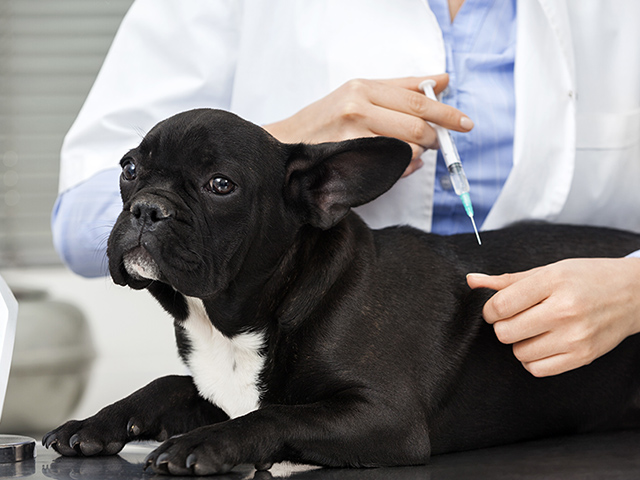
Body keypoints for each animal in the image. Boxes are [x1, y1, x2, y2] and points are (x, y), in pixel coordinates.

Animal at [42, 109, 636, 476]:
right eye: (129, 168)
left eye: (220, 185)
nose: (148, 207)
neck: (237, 323)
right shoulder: (218, 391)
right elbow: (169, 384)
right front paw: (96, 423)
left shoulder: (385, 417)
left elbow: (279, 414)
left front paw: (201, 444)